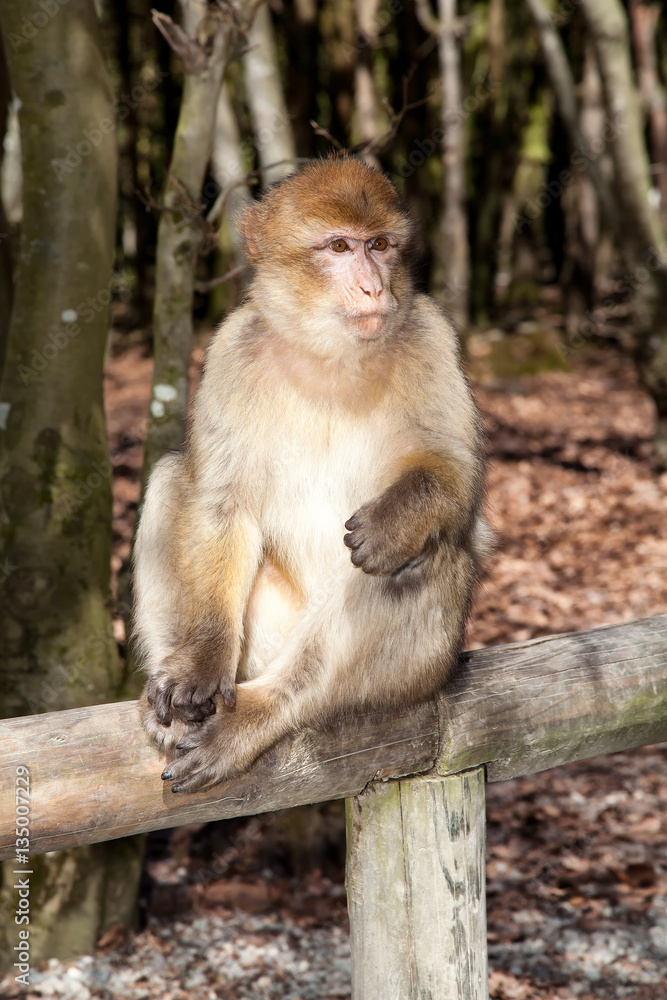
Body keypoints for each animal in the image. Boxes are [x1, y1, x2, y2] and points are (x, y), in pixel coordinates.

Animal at [133, 156, 489, 794]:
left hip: (422, 669)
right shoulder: (232, 350)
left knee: (413, 564)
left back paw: (260, 711)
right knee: (176, 477)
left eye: (380, 245)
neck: (332, 355)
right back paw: (173, 697)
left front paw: (396, 519)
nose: (374, 287)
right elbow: (222, 502)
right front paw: (198, 661)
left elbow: (454, 476)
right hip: (263, 634)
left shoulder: (432, 335)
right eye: (340, 247)